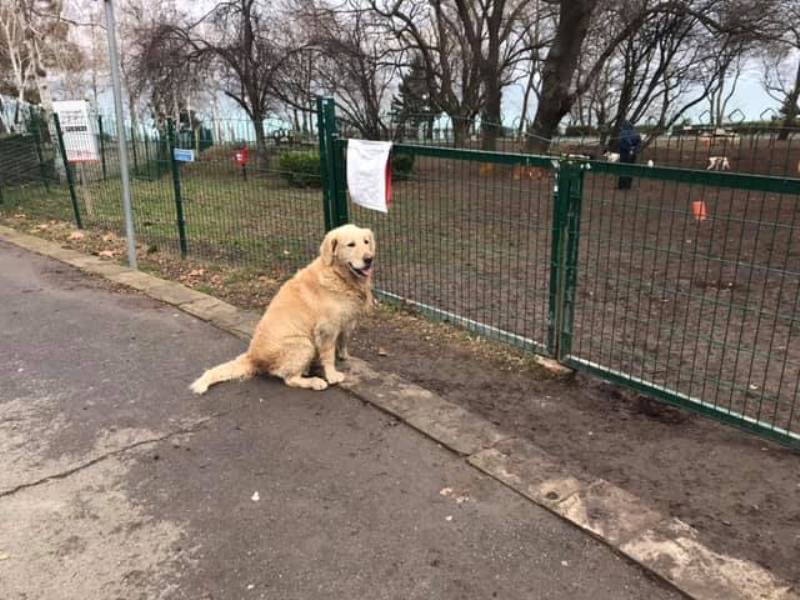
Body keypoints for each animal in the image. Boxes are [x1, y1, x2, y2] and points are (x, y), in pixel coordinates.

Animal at [191, 225, 376, 394]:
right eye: (350, 244)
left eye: (366, 242)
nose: (369, 259)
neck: (338, 275)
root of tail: (252, 357)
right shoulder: (327, 328)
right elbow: (328, 354)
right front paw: (332, 375)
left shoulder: (346, 320)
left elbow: (344, 339)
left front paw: (344, 355)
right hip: (304, 344)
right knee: (289, 378)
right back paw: (314, 381)